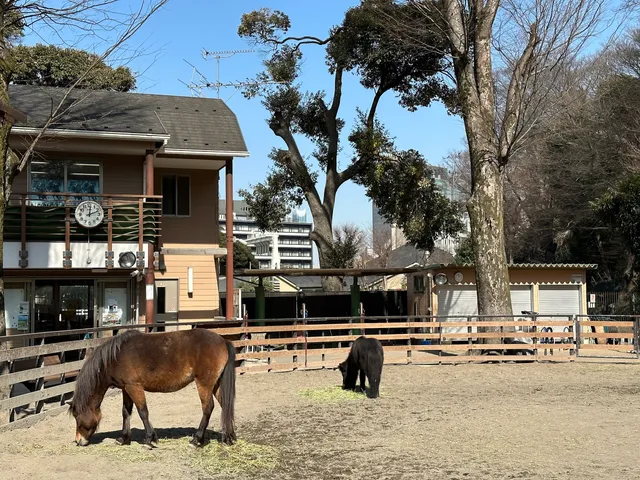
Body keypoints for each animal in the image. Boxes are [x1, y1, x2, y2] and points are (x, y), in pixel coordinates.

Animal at [69, 328, 236, 448]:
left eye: (77, 417)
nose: (78, 441)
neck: (115, 357)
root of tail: (223, 340)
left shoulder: (134, 387)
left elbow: (143, 412)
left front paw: (149, 440)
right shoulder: (126, 388)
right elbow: (125, 412)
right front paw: (123, 439)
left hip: (204, 384)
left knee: (208, 408)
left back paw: (197, 440)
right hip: (216, 385)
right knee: (225, 405)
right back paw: (229, 438)